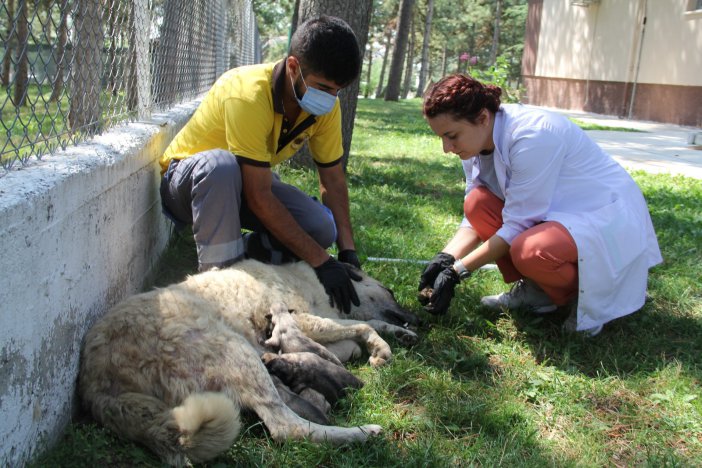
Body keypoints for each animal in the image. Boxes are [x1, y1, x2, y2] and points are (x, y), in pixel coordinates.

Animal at [78, 258, 418, 466]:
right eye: (390, 291)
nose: (418, 318)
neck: (313, 281)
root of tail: (97, 388)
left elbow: (365, 326)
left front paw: (399, 334)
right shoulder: (305, 320)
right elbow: (364, 325)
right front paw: (380, 345)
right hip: (234, 349)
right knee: (286, 427)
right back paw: (359, 433)